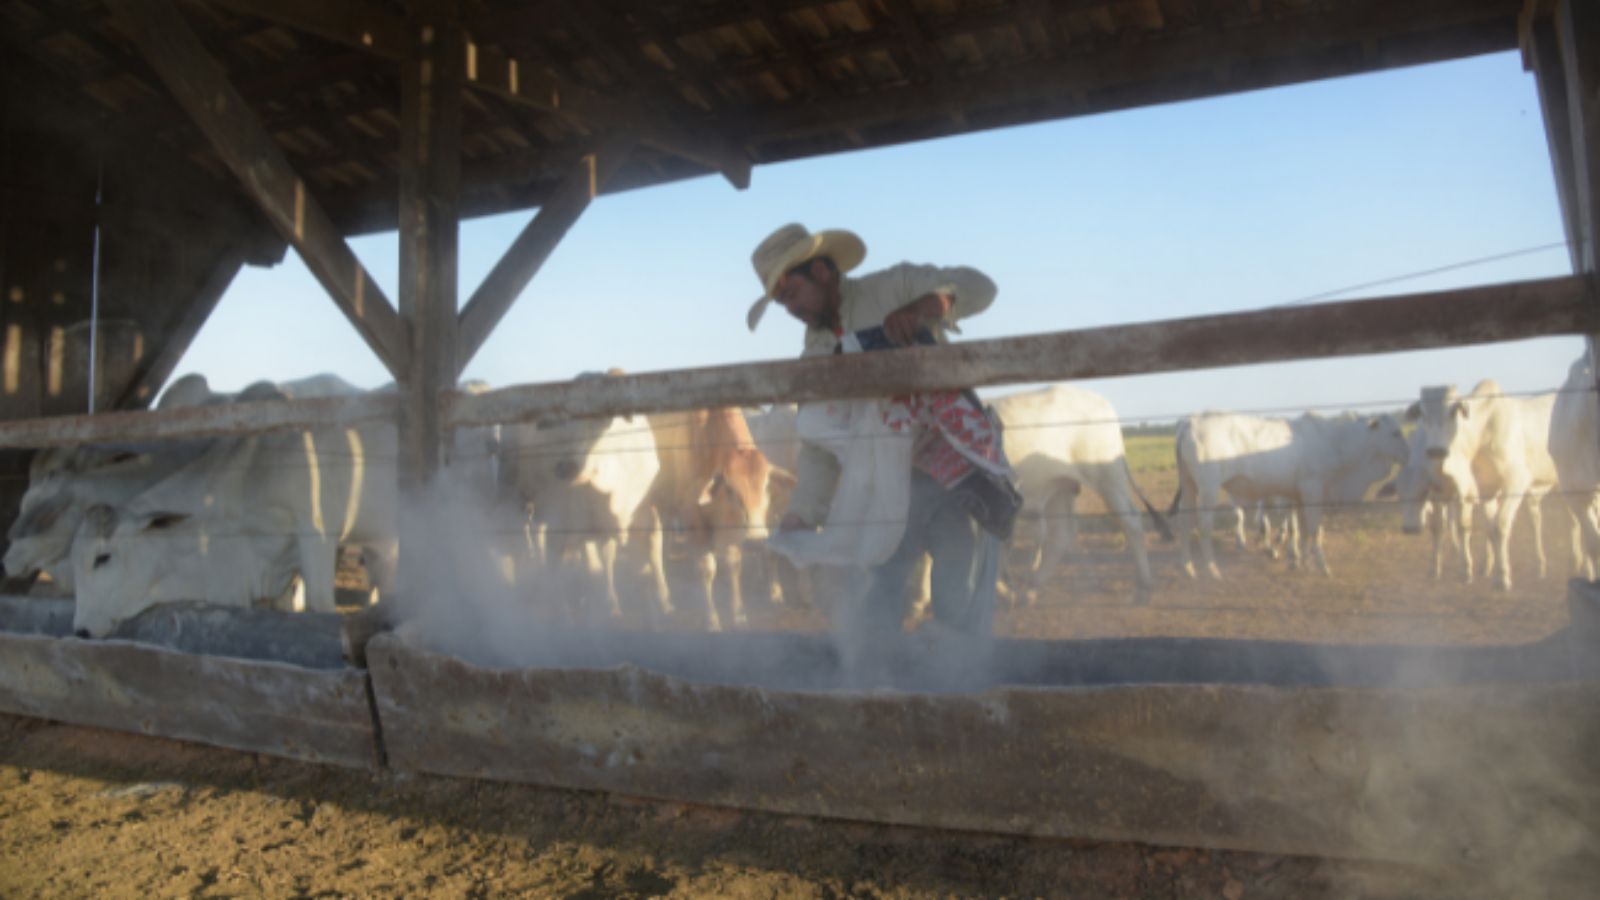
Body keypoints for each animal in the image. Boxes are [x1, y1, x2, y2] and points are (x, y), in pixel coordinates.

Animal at [1171, 413, 1408, 576]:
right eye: (1395, 432)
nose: (1408, 454)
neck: (1335, 443)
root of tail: (1190, 423)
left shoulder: (1299, 497)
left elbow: (1301, 531)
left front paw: (1302, 561)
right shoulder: (1313, 492)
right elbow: (1313, 530)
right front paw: (1322, 566)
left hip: (1189, 486)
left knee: (1184, 522)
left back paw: (1188, 568)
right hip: (1208, 489)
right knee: (1204, 526)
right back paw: (1212, 570)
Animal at [1414, 377, 1561, 589]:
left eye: (1453, 411)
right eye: (1422, 414)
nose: (1435, 451)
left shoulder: (1515, 481)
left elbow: (1499, 526)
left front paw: (1502, 576)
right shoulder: (1481, 490)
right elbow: (1478, 528)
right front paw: (1476, 569)